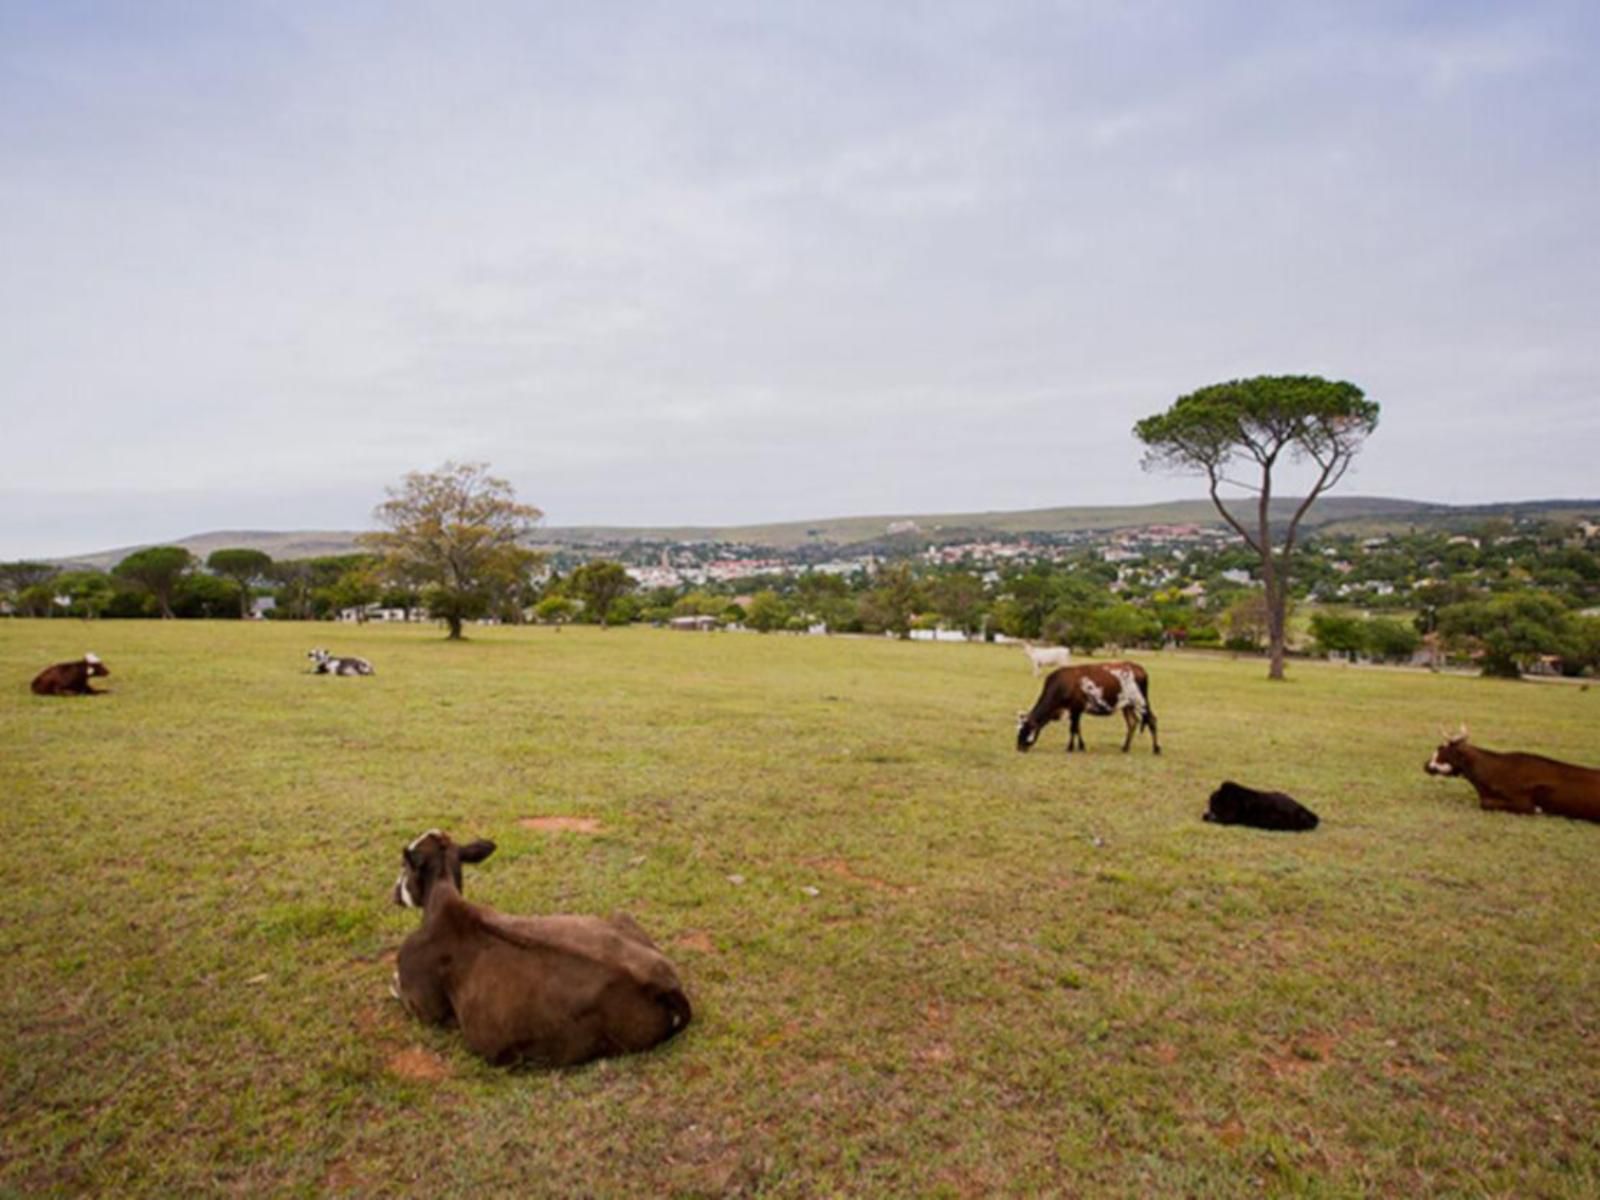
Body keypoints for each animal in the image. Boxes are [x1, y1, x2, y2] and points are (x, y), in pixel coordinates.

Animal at [390, 825, 691, 1068]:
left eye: (404, 865)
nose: (394, 894)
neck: (442, 900)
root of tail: (662, 982)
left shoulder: (423, 1006)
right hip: (620, 915)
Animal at [1011, 662, 1164, 755]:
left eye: (1026, 730)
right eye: (1018, 730)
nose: (1019, 748)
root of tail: (1139, 669)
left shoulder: (1076, 708)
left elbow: (1073, 729)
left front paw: (1070, 748)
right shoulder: (1075, 711)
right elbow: (1077, 728)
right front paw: (1081, 746)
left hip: (1141, 702)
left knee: (1152, 720)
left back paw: (1156, 749)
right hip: (1127, 706)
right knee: (1132, 723)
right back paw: (1125, 748)